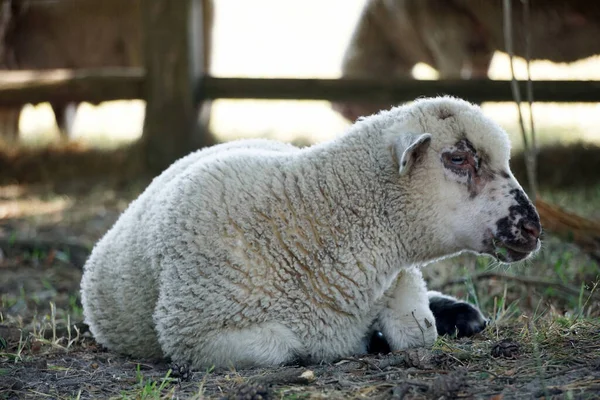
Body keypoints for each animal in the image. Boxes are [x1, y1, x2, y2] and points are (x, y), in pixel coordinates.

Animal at [77, 96, 540, 368]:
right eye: (458, 158)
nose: (533, 227)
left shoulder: (400, 277)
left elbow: (417, 331)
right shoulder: (196, 334)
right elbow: (289, 348)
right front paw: (364, 341)